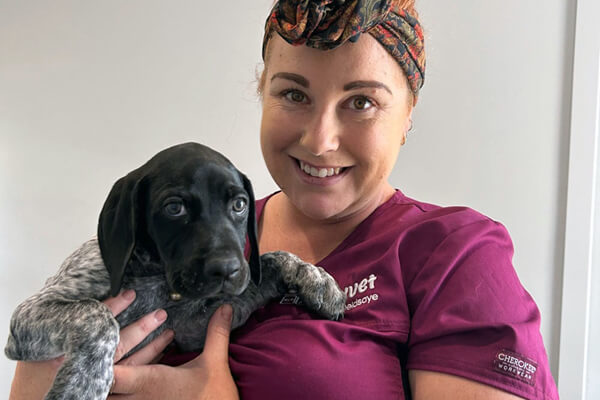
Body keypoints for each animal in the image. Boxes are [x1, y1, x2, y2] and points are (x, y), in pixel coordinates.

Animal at [4, 143, 344, 400]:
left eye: (239, 204)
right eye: (174, 208)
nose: (227, 270)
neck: (155, 277)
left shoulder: (187, 329)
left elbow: (269, 263)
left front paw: (315, 276)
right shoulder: (27, 317)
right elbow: (97, 317)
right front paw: (81, 385)